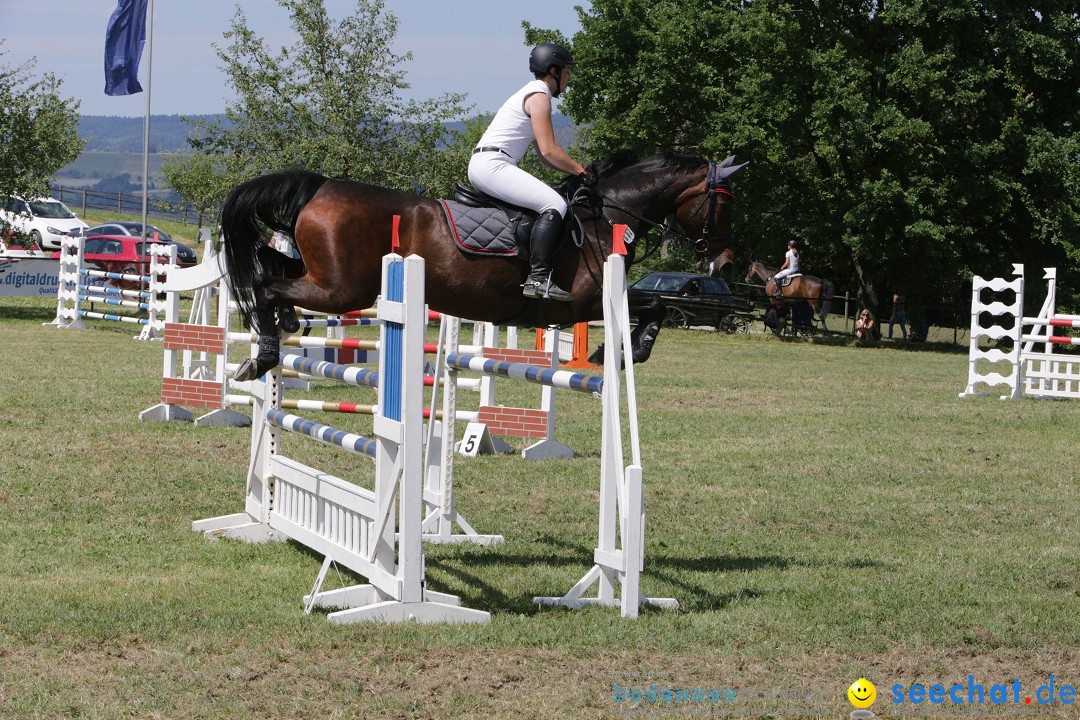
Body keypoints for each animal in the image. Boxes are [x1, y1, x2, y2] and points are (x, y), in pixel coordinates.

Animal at [218, 148, 743, 379]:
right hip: (343, 288)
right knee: (265, 283)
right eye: (724, 204)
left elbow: (655, 303)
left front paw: (617, 351)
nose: (723, 262)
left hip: (329, 279)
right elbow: (654, 303)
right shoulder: (584, 301)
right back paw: (263, 355)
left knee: (268, 265)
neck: (607, 214)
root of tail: (321, 186)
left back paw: (283, 325)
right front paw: (623, 351)